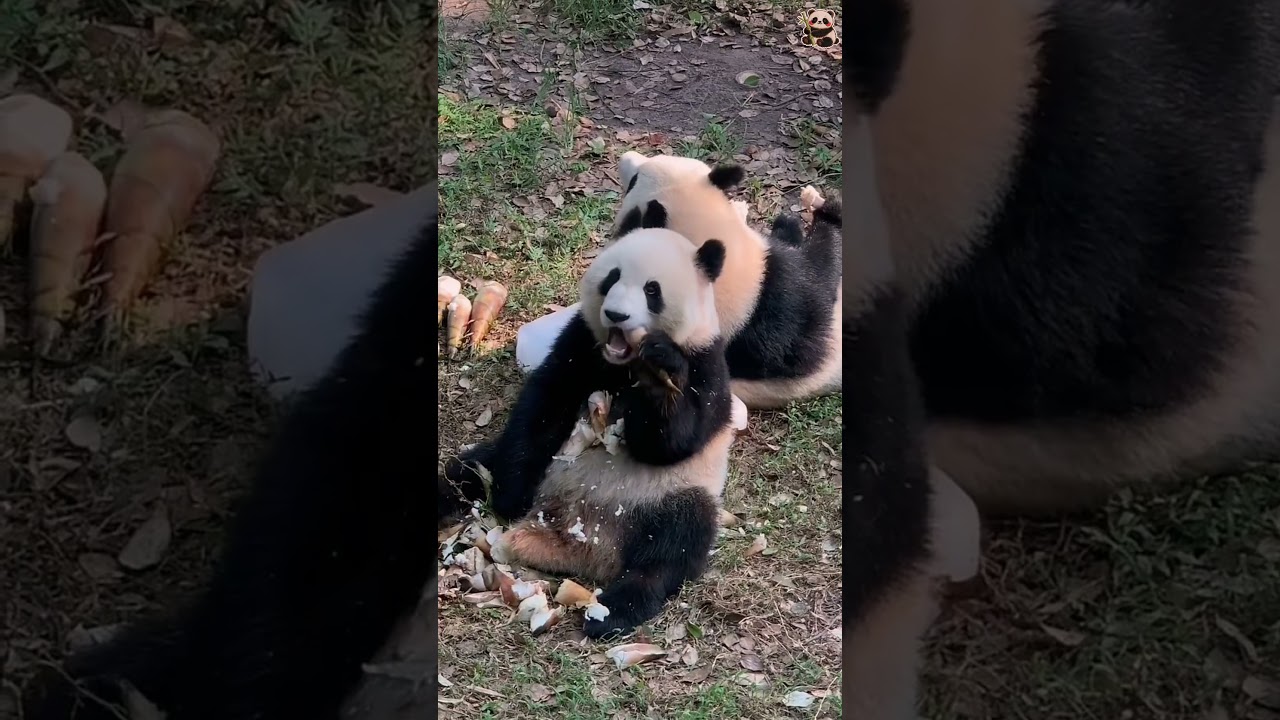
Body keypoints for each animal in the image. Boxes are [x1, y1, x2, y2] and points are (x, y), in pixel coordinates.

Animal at [443, 225, 740, 638]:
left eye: (652, 290)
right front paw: (509, 496)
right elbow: (546, 399)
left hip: (670, 493)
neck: (623, 362)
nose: (616, 314)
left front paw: (660, 376)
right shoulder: (580, 341)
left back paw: (612, 610)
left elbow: (675, 441)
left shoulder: (706, 360)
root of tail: (579, 547)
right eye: (612, 278)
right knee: (467, 471)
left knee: (676, 541)